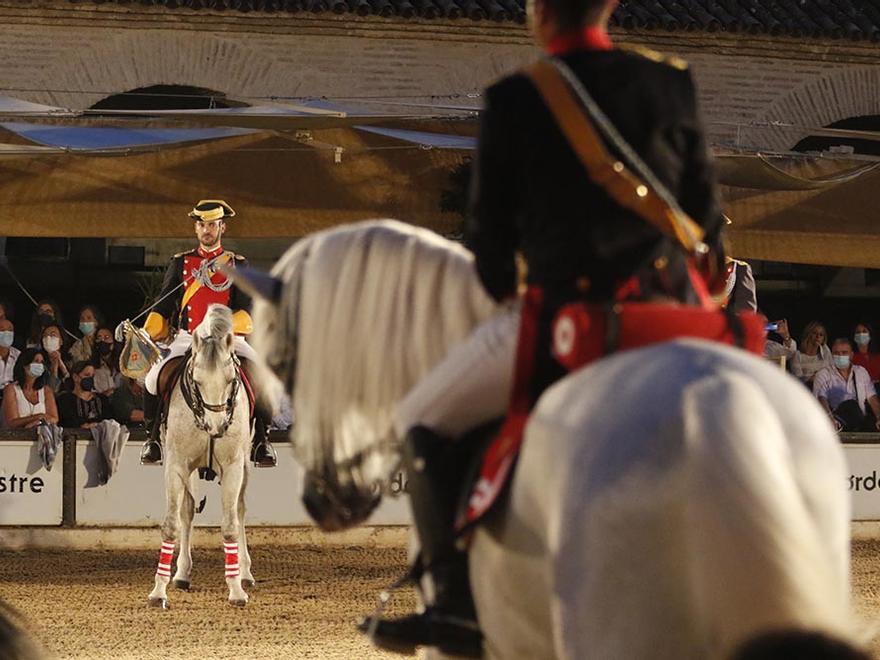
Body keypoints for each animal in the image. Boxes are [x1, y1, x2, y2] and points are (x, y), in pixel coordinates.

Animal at [148, 304, 254, 608]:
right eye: (196, 380)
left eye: (230, 380)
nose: (215, 427)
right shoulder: (176, 466)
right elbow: (172, 523)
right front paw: (159, 590)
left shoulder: (233, 468)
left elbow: (230, 525)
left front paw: (236, 589)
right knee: (187, 511)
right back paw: (182, 573)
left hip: (245, 466)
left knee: (240, 511)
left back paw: (245, 572)